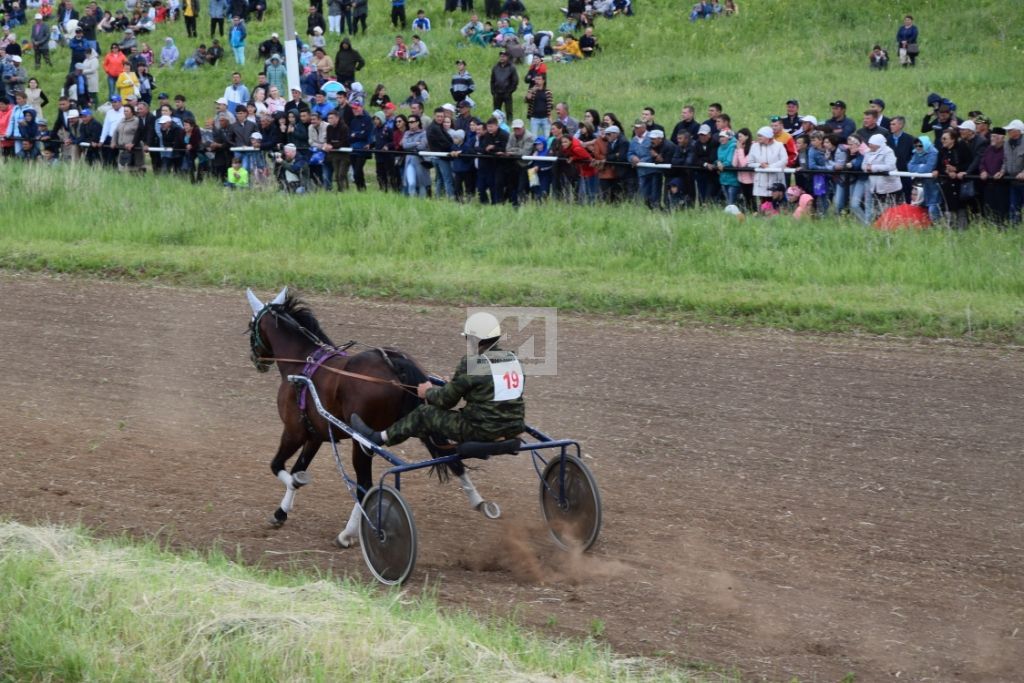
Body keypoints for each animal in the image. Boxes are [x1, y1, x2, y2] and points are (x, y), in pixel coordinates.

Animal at [245, 290, 466, 548]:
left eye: (250, 325)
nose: (256, 360)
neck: (302, 364)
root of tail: (395, 365)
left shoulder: (293, 431)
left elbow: (278, 466)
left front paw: (286, 499)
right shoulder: (316, 435)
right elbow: (298, 470)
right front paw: (281, 512)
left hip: (361, 443)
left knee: (365, 487)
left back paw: (350, 534)